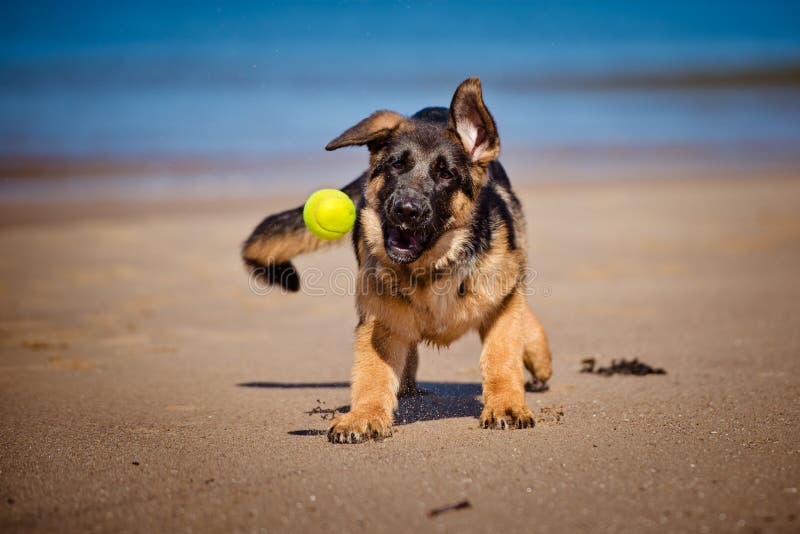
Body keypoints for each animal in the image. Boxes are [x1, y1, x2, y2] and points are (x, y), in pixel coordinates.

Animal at [242, 78, 552, 444]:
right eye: (395, 165)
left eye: (446, 174)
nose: (406, 210)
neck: (434, 266)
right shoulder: (380, 319)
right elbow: (372, 372)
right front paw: (363, 415)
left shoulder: (500, 304)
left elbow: (501, 356)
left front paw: (506, 405)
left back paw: (537, 355)